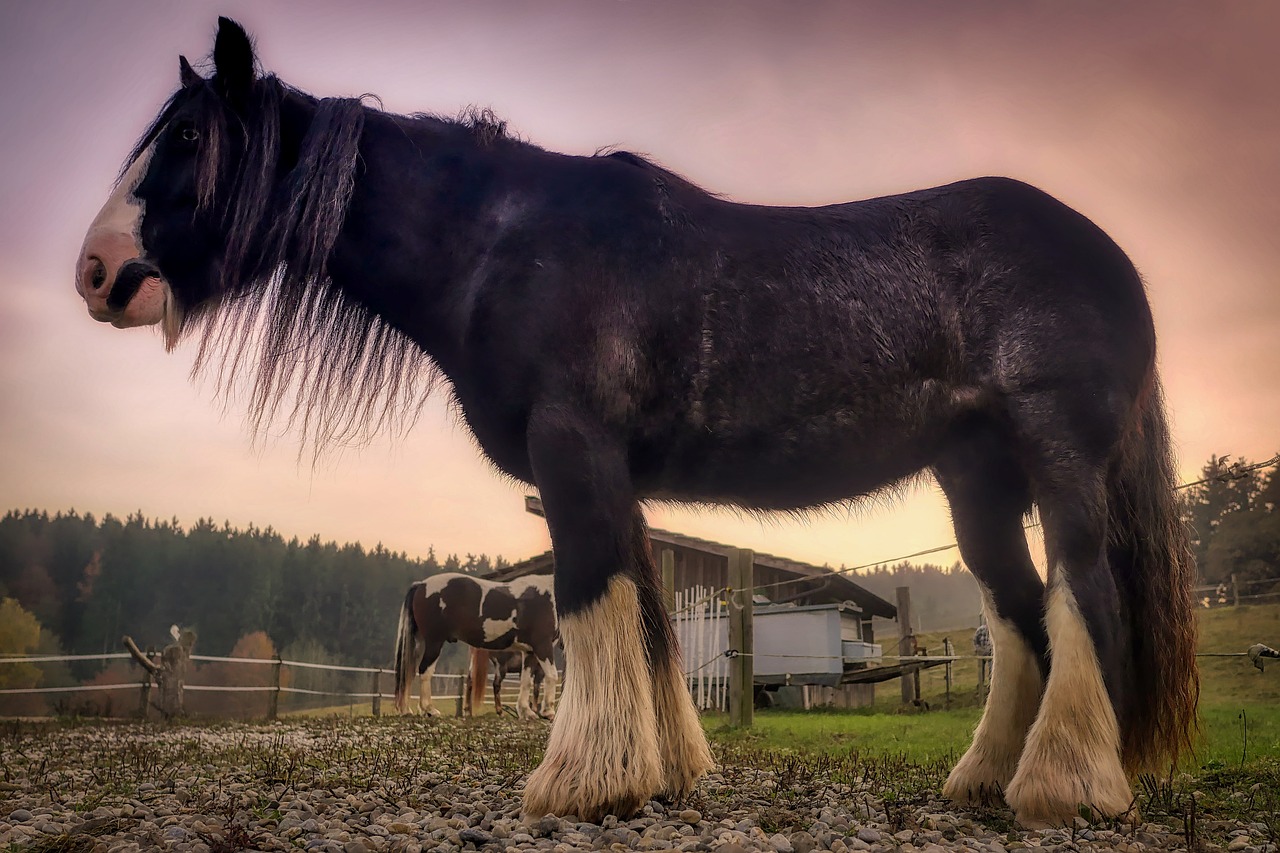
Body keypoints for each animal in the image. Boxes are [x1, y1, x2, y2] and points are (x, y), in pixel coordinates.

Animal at [391, 571, 558, 717]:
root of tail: (421, 585)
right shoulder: (543, 646)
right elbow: (551, 676)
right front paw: (548, 712)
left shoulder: (529, 651)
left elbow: (526, 681)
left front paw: (526, 712)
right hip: (434, 642)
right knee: (425, 670)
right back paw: (429, 709)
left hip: (419, 642)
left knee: (409, 672)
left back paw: (407, 710)